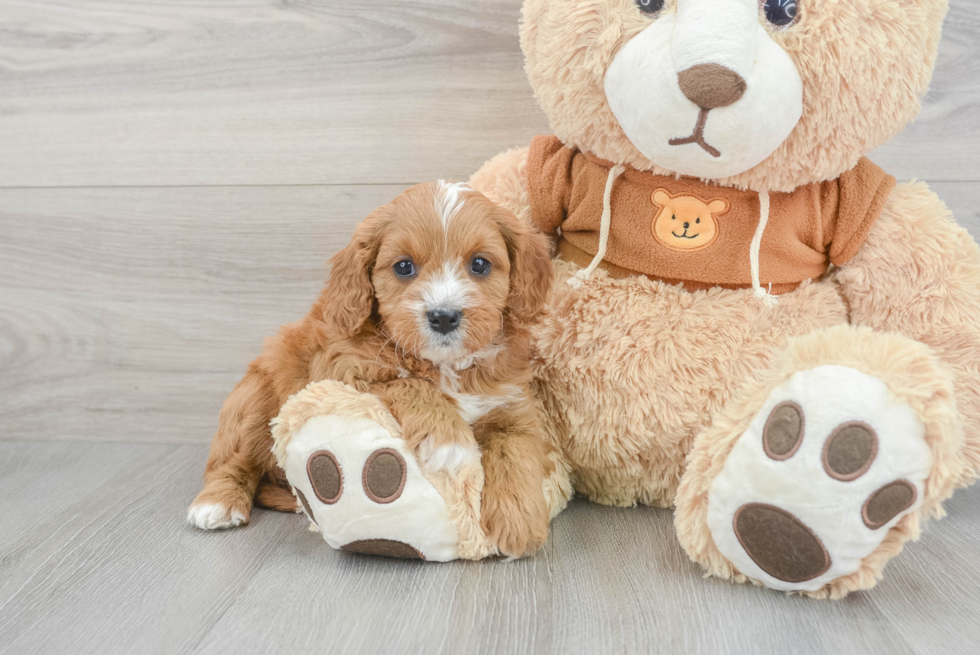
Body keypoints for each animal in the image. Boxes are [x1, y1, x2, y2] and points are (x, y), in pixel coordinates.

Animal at [188, 181, 556, 560]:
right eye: (404, 267)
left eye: (480, 264)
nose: (443, 316)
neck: (446, 365)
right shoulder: (344, 372)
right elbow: (409, 384)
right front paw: (449, 444)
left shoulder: (511, 406)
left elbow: (515, 451)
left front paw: (518, 526)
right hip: (253, 404)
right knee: (230, 463)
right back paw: (217, 504)